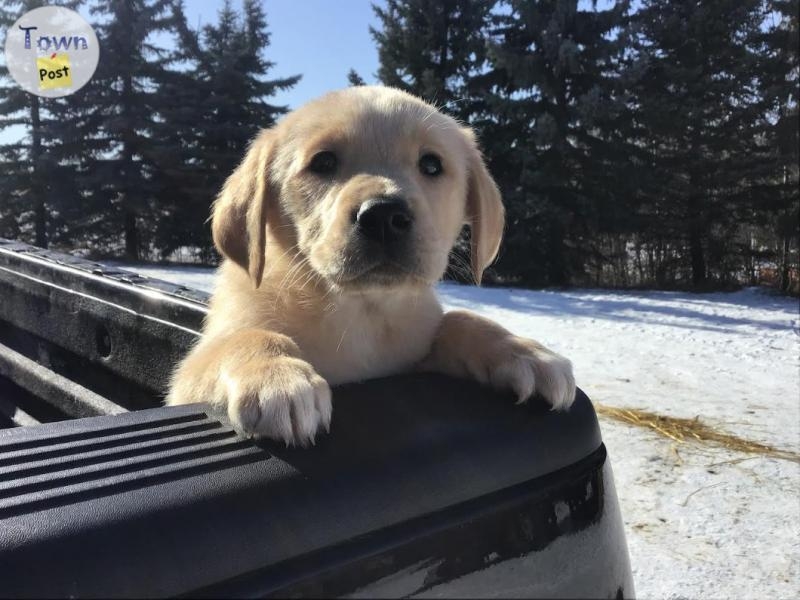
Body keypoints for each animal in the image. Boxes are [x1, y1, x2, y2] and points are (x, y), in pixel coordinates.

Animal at [166, 85, 572, 446]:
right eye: (323, 162)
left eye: (431, 164)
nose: (383, 216)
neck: (362, 311)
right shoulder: (188, 381)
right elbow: (248, 336)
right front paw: (275, 379)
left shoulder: (415, 358)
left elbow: (461, 319)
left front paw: (524, 351)